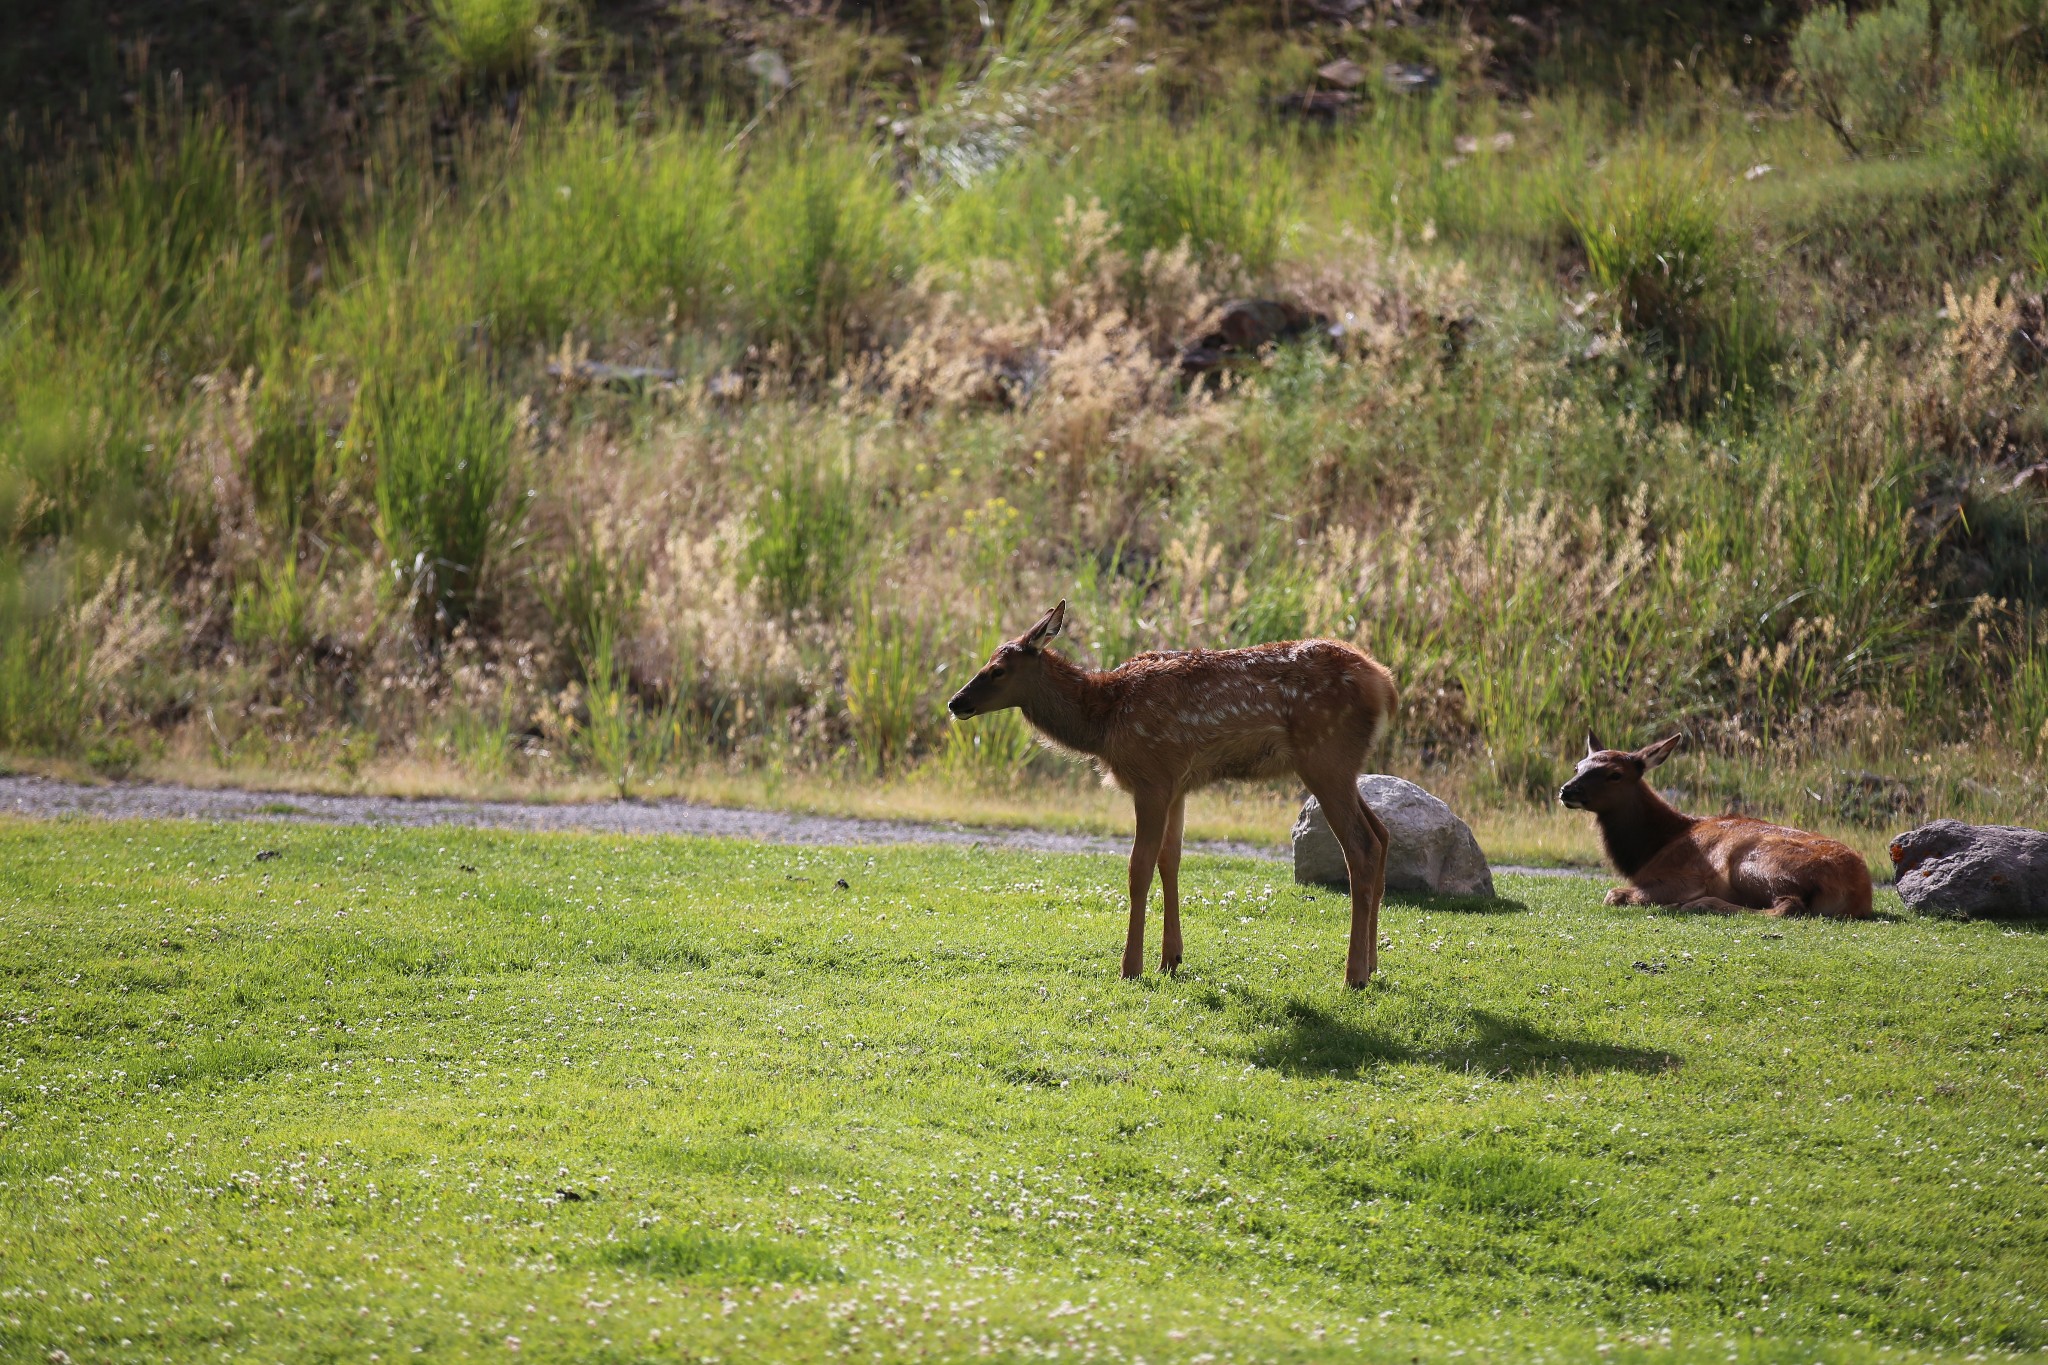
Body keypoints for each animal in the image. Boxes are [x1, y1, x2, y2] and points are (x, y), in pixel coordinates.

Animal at [937, 601, 1392, 986]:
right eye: (986, 661)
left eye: (998, 669)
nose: (956, 702)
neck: (1103, 721)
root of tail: (1384, 682)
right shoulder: (1177, 783)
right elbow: (1169, 859)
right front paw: (1170, 959)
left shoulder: (1151, 778)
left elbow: (1138, 868)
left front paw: (1131, 966)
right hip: (1343, 766)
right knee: (1383, 833)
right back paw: (1373, 964)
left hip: (1324, 755)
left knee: (1361, 846)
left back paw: (1354, 974)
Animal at [1564, 732, 1875, 925]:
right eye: (1578, 766)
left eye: (1615, 774)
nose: (1566, 790)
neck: (1650, 850)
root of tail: (1857, 891)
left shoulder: (1685, 876)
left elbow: (1613, 894)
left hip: (1753, 863)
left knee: (1788, 907)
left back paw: (1697, 905)